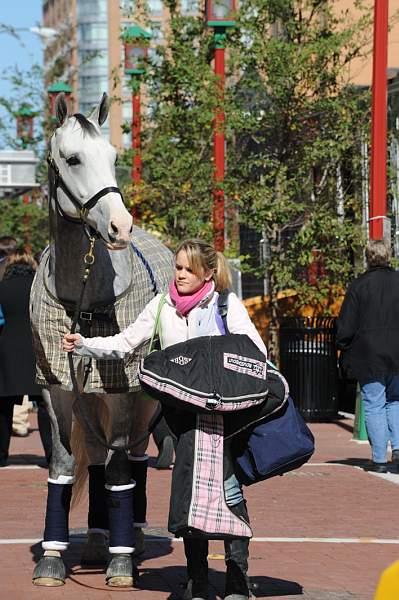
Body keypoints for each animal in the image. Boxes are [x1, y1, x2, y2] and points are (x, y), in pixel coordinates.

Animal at [30, 94, 174, 584]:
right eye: (73, 158)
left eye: (114, 158)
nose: (119, 227)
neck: (85, 297)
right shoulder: (56, 387)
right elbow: (63, 464)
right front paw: (53, 559)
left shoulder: (122, 389)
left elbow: (119, 468)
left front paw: (122, 561)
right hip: (88, 396)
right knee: (93, 454)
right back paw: (94, 538)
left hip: (140, 399)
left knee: (133, 456)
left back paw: (130, 538)